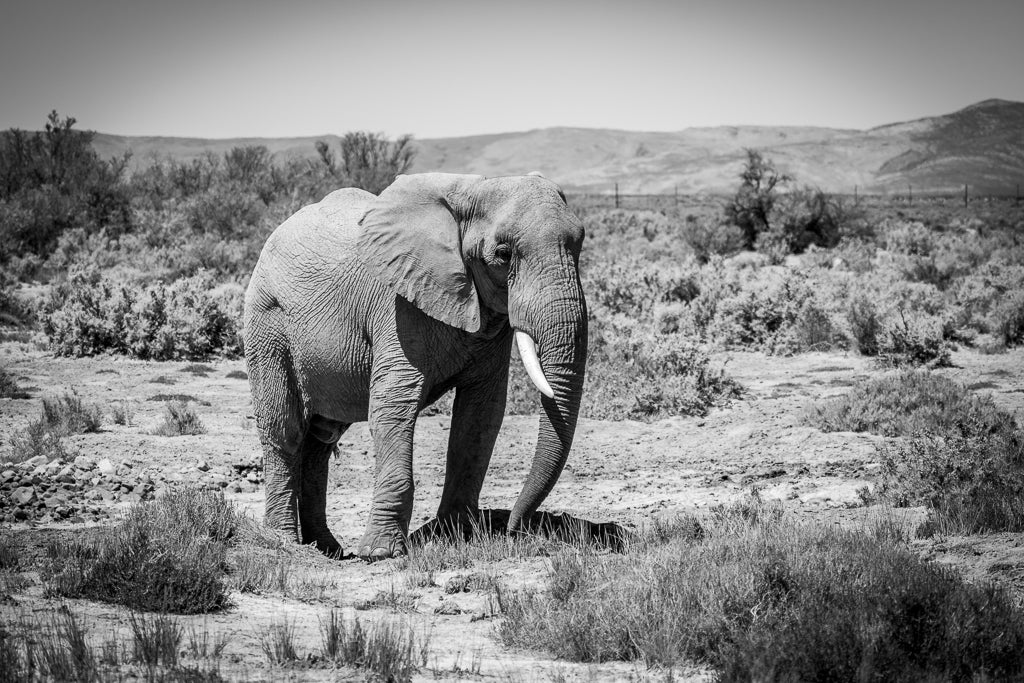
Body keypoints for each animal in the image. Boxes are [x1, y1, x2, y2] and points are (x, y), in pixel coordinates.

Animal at [240, 172, 589, 561]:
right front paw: (381, 554)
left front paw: (455, 536)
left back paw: (327, 548)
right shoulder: (396, 304)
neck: (472, 187)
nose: (516, 529)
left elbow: (481, 415)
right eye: (503, 254)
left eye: (580, 243)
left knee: (320, 442)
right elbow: (392, 406)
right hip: (267, 325)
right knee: (284, 432)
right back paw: (285, 541)